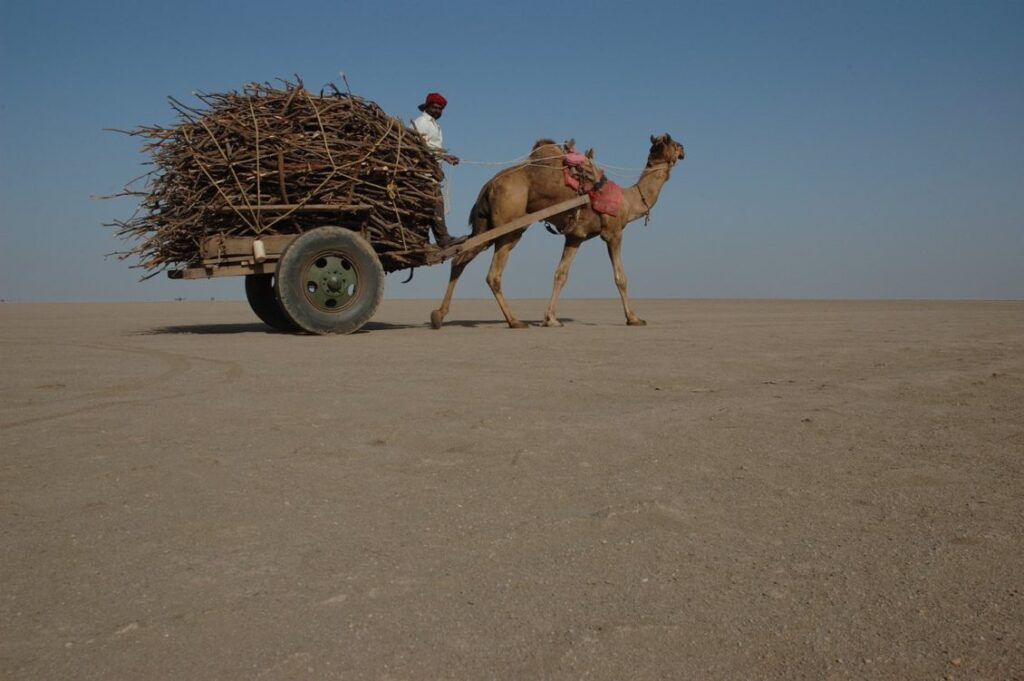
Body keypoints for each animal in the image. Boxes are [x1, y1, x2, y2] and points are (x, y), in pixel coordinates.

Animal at [428, 133, 684, 329]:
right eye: (671, 141)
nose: (683, 149)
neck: (628, 201)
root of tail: (488, 185)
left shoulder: (575, 237)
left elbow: (561, 274)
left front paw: (550, 319)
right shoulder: (613, 232)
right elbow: (621, 278)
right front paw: (634, 318)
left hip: (487, 225)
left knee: (460, 257)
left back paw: (439, 315)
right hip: (509, 225)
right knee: (493, 274)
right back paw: (515, 321)